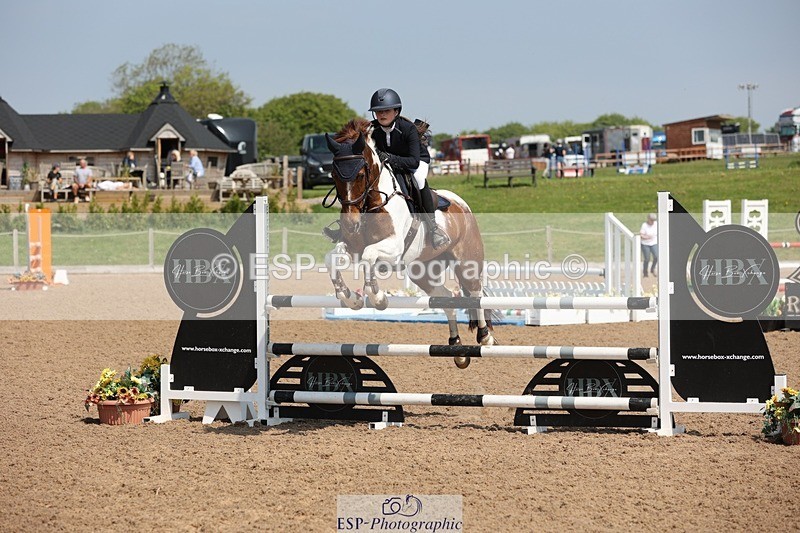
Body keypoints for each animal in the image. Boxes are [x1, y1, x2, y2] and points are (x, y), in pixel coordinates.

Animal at [323, 118, 497, 368]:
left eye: (360, 174)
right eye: (333, 176)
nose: (350, 225)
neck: (374, 202)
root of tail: (462, 204)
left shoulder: (393, 248)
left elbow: (369, 255)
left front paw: (378, 298)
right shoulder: (353, 249)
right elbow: (332, 259)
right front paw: (352, 299)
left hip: (467, 263)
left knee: (475, 293)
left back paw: (485, 337)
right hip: (422, 271)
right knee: (445, 297)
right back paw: (457, 347)